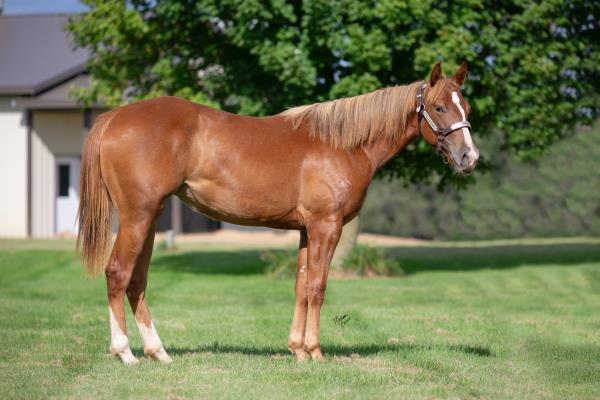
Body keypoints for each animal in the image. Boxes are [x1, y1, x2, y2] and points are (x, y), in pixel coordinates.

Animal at [78, 61, 478, 362]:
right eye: (439, 107)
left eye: (467, 108)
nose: (469, 157)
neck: (343, 144)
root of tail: (113, 118)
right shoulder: (326, 226)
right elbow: (317, 287)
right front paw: (315, 351)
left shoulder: (305, 230)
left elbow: (300, 286)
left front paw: (297, 349)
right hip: (137, 216)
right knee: (117, 273)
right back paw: (124, 352)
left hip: (151, 217)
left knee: (137, 281)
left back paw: (157, 352)